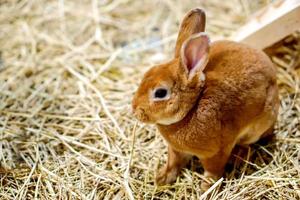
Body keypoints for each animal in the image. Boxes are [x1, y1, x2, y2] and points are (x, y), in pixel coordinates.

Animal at [131, 8, 278, 191]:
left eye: (160, 93)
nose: (135, 110)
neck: (192, 108)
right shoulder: (175, 150)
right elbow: (174, 162)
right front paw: (162, 178)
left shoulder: (216, 153)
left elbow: (213, 171)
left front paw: (206, 188)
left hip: (258, 125)